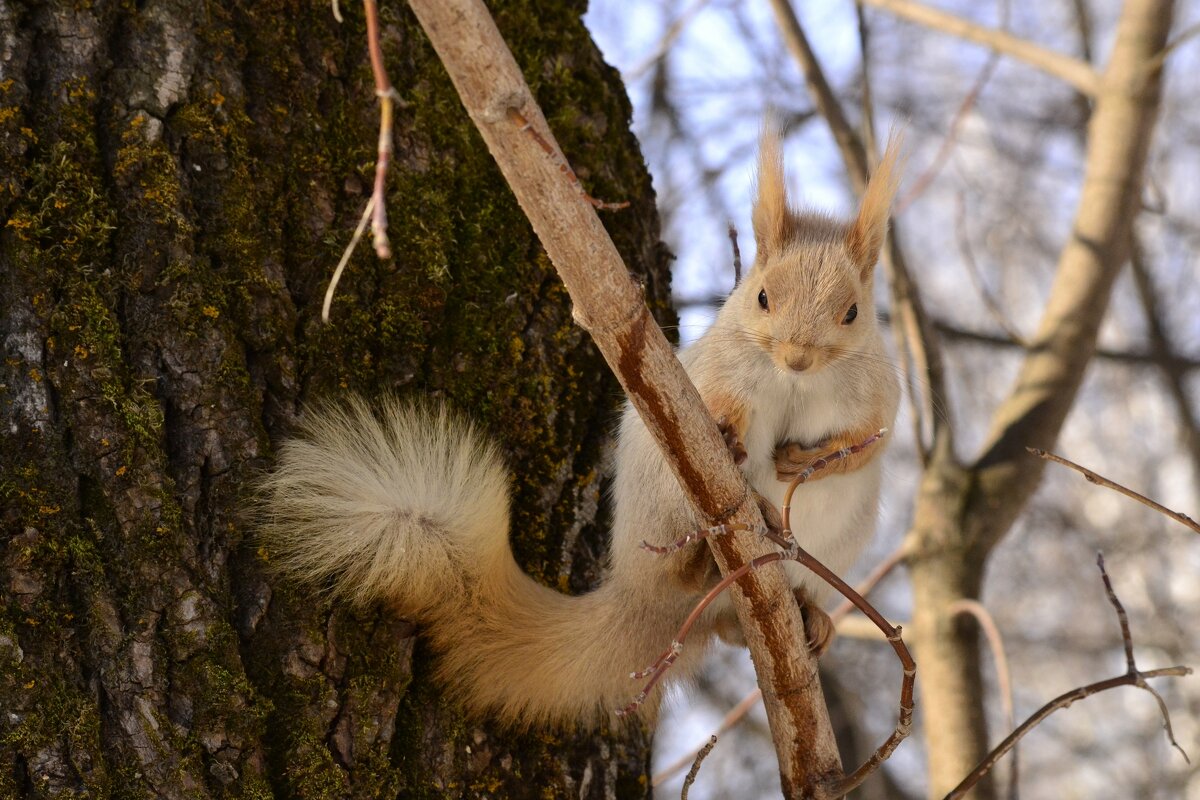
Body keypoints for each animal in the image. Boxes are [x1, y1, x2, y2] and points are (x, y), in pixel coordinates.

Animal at [260, 126, 902, 734]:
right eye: (763, 296)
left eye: (852, 312)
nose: (797, 358)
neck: (797, 386)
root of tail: (639, 597)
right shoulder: (719, 371)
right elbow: (720, 404)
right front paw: (728, 437)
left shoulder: (879, 393)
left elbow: (872, 439)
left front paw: (811, 459)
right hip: (661, 504)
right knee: (683, 576)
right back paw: (710, 553)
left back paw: (811, 612)